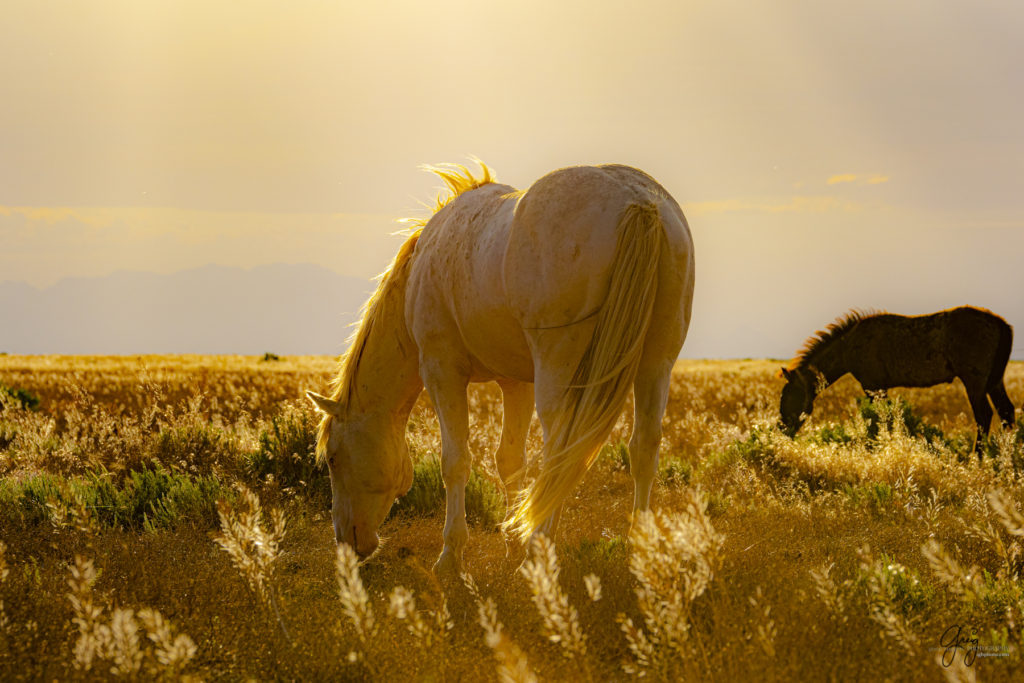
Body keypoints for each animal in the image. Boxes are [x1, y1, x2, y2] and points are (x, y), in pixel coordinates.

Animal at [307, 160, 696, 573]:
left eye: (332, 458)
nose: (346, 542)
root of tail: (639, 201)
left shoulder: (442, 372)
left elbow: (455, 462)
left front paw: (451, 555)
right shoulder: (516, 383)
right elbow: (510, 460)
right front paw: (510, 542)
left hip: (559, 371)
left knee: (562, 452)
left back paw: (541, 545)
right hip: (656, 364)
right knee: (644, 447)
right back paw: (639, 546)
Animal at [782, 309, 1015, 448]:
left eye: (789, 396)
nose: (783, 430)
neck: (848, 346)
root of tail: (1001, 323)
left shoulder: (873, 386)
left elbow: (881, 419)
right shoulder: (879, 388)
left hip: (974, 382)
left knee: (984, 415)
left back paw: (978, 460)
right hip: (994, 382)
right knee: (1006, 412)